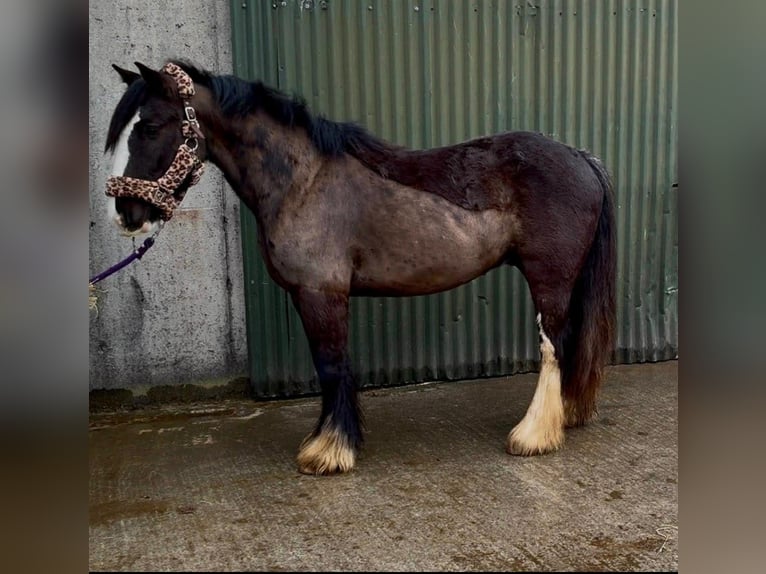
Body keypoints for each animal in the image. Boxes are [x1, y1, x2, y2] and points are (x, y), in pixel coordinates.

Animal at [102, 60, 616, 475]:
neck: (303, 180)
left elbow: (331, 365)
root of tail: (580, 157)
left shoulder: (321, 293)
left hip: (549, 279)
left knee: (553, 346)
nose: (125, 214)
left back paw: (533, 435)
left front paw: (329, 451)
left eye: (150, 126)